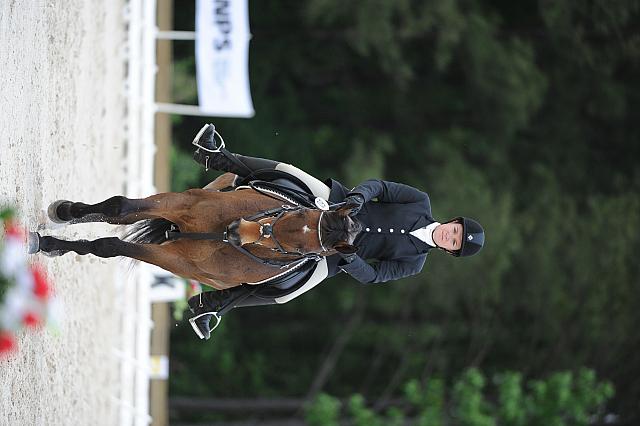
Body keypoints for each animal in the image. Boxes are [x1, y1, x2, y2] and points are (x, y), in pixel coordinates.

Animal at [28, 173, 360, 290]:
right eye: (299, 211)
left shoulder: (175, 259)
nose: (238, 231)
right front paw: (62, 214)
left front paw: (48, 243)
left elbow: (108, 246)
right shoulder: (181, 203)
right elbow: (118, 208)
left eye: (305, 252)